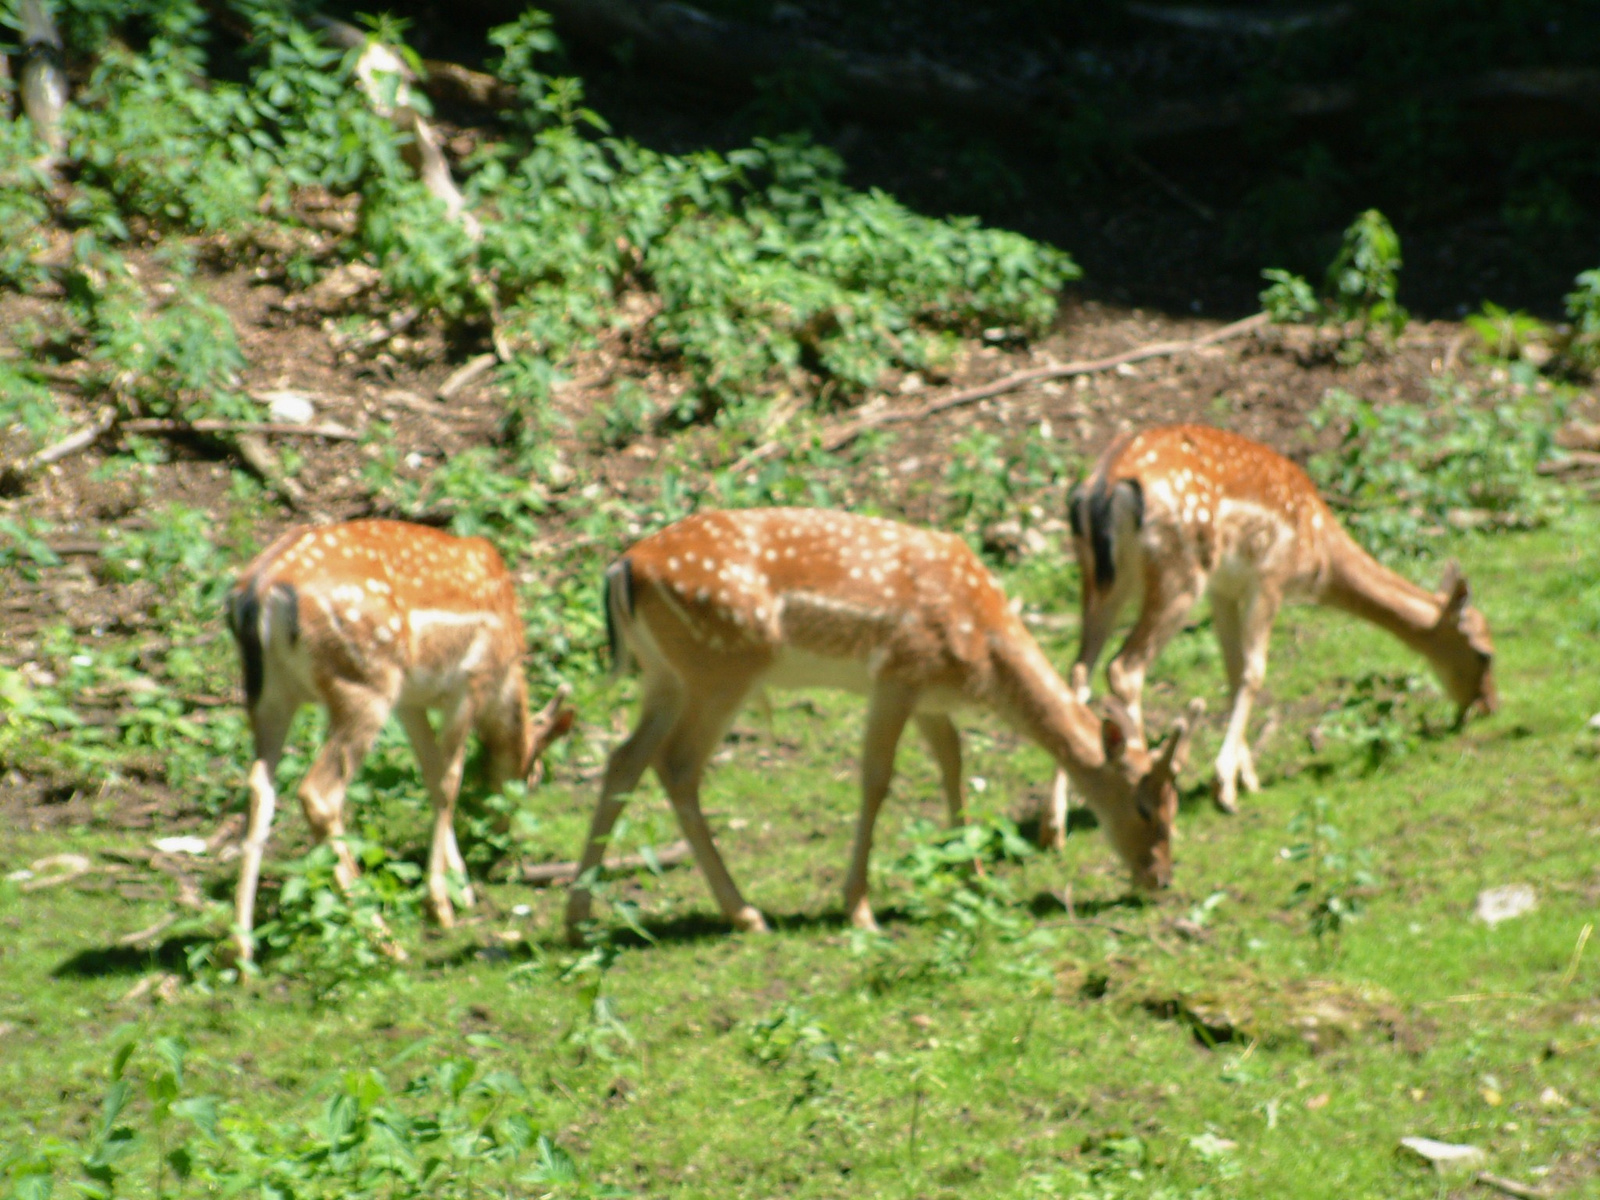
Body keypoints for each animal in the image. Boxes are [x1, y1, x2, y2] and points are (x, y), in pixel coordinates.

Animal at [225, 521, 576, 966]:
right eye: (532, 778)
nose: (501, 836)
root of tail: (262, 590)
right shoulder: (469, 683)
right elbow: (449, 781)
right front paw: (440, 903)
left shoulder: (411, 700)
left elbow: (431, 773)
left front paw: (461, 887)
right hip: (364, 681)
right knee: (319, 793)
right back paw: (383, 937)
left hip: (268, 695)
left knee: (260, 788)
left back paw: (241, 952)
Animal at [569, 502, 1196, 947]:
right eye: (1144, 806)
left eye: (1174, 803)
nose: (1162, 878)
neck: (982, 650)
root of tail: (622, 568)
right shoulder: (899, 673)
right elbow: (877, 779)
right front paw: (859, 908)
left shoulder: (931, 697)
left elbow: (953, 766)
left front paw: (974, 876)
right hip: (722, 665)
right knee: (676, 764)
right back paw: (744, 913)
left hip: (666, 676)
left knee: (624, 758)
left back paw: (577, 920)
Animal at [1062, 422, 1497, 819]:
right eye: (1485, 653)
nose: (1489, 706)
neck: (1318, 557)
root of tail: (1102, 487)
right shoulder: (1269, 577)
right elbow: (1254, 671)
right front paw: (1226, 788)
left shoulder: (1225, 588)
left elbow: (1233, 670)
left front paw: (1247, 777)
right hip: (1179, 572)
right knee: (1125, 667)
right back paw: (1142, 781)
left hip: (1101, 579)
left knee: (1078, 671)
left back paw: (1061, 819)